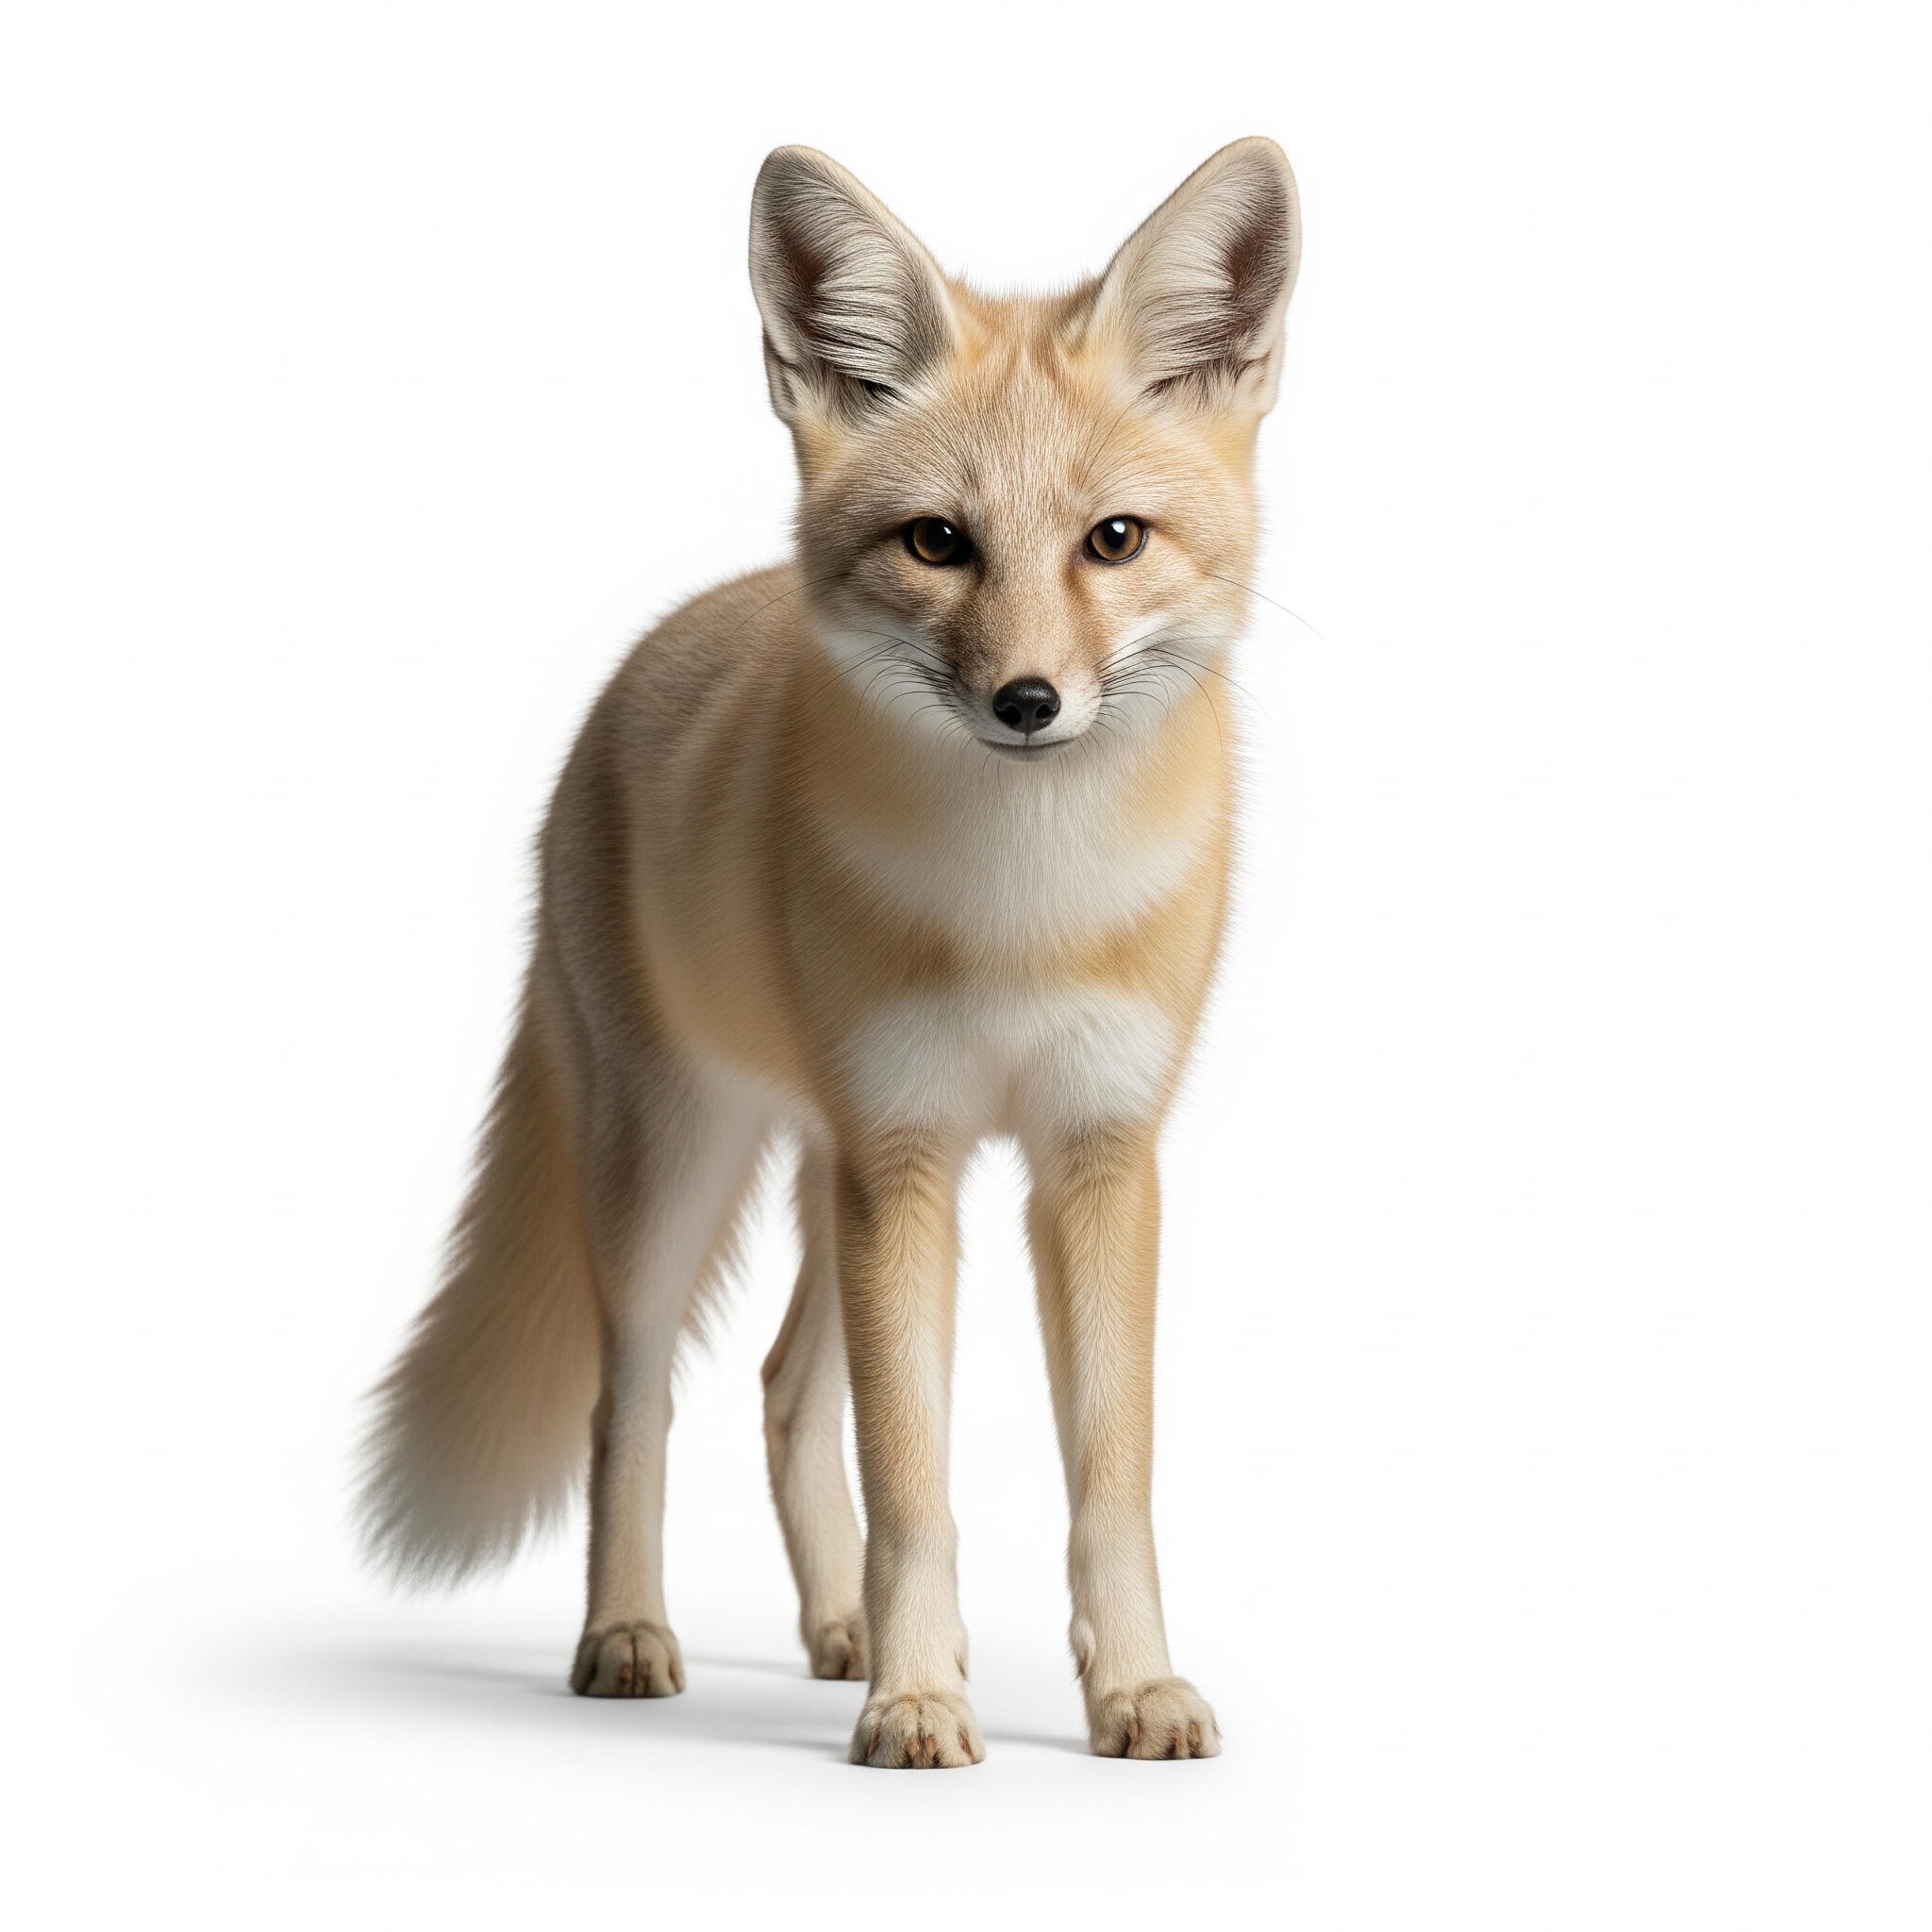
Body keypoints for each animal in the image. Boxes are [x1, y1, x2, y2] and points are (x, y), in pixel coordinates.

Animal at [359, 137, 1301, 1767]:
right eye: (939, 543)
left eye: (1113, 542)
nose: (1029, 702)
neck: (1024, 914)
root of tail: (647, 656)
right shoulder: (907, 1152)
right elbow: (915, 1482)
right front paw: (920, 1701)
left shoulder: (1093, 1155)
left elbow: (1107, 1484)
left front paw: (1128, 1689)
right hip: (678, 1165)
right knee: (638, 1402)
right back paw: (629, 1636)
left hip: (819, 1166)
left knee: (786, 1389)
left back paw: (833, 1632)